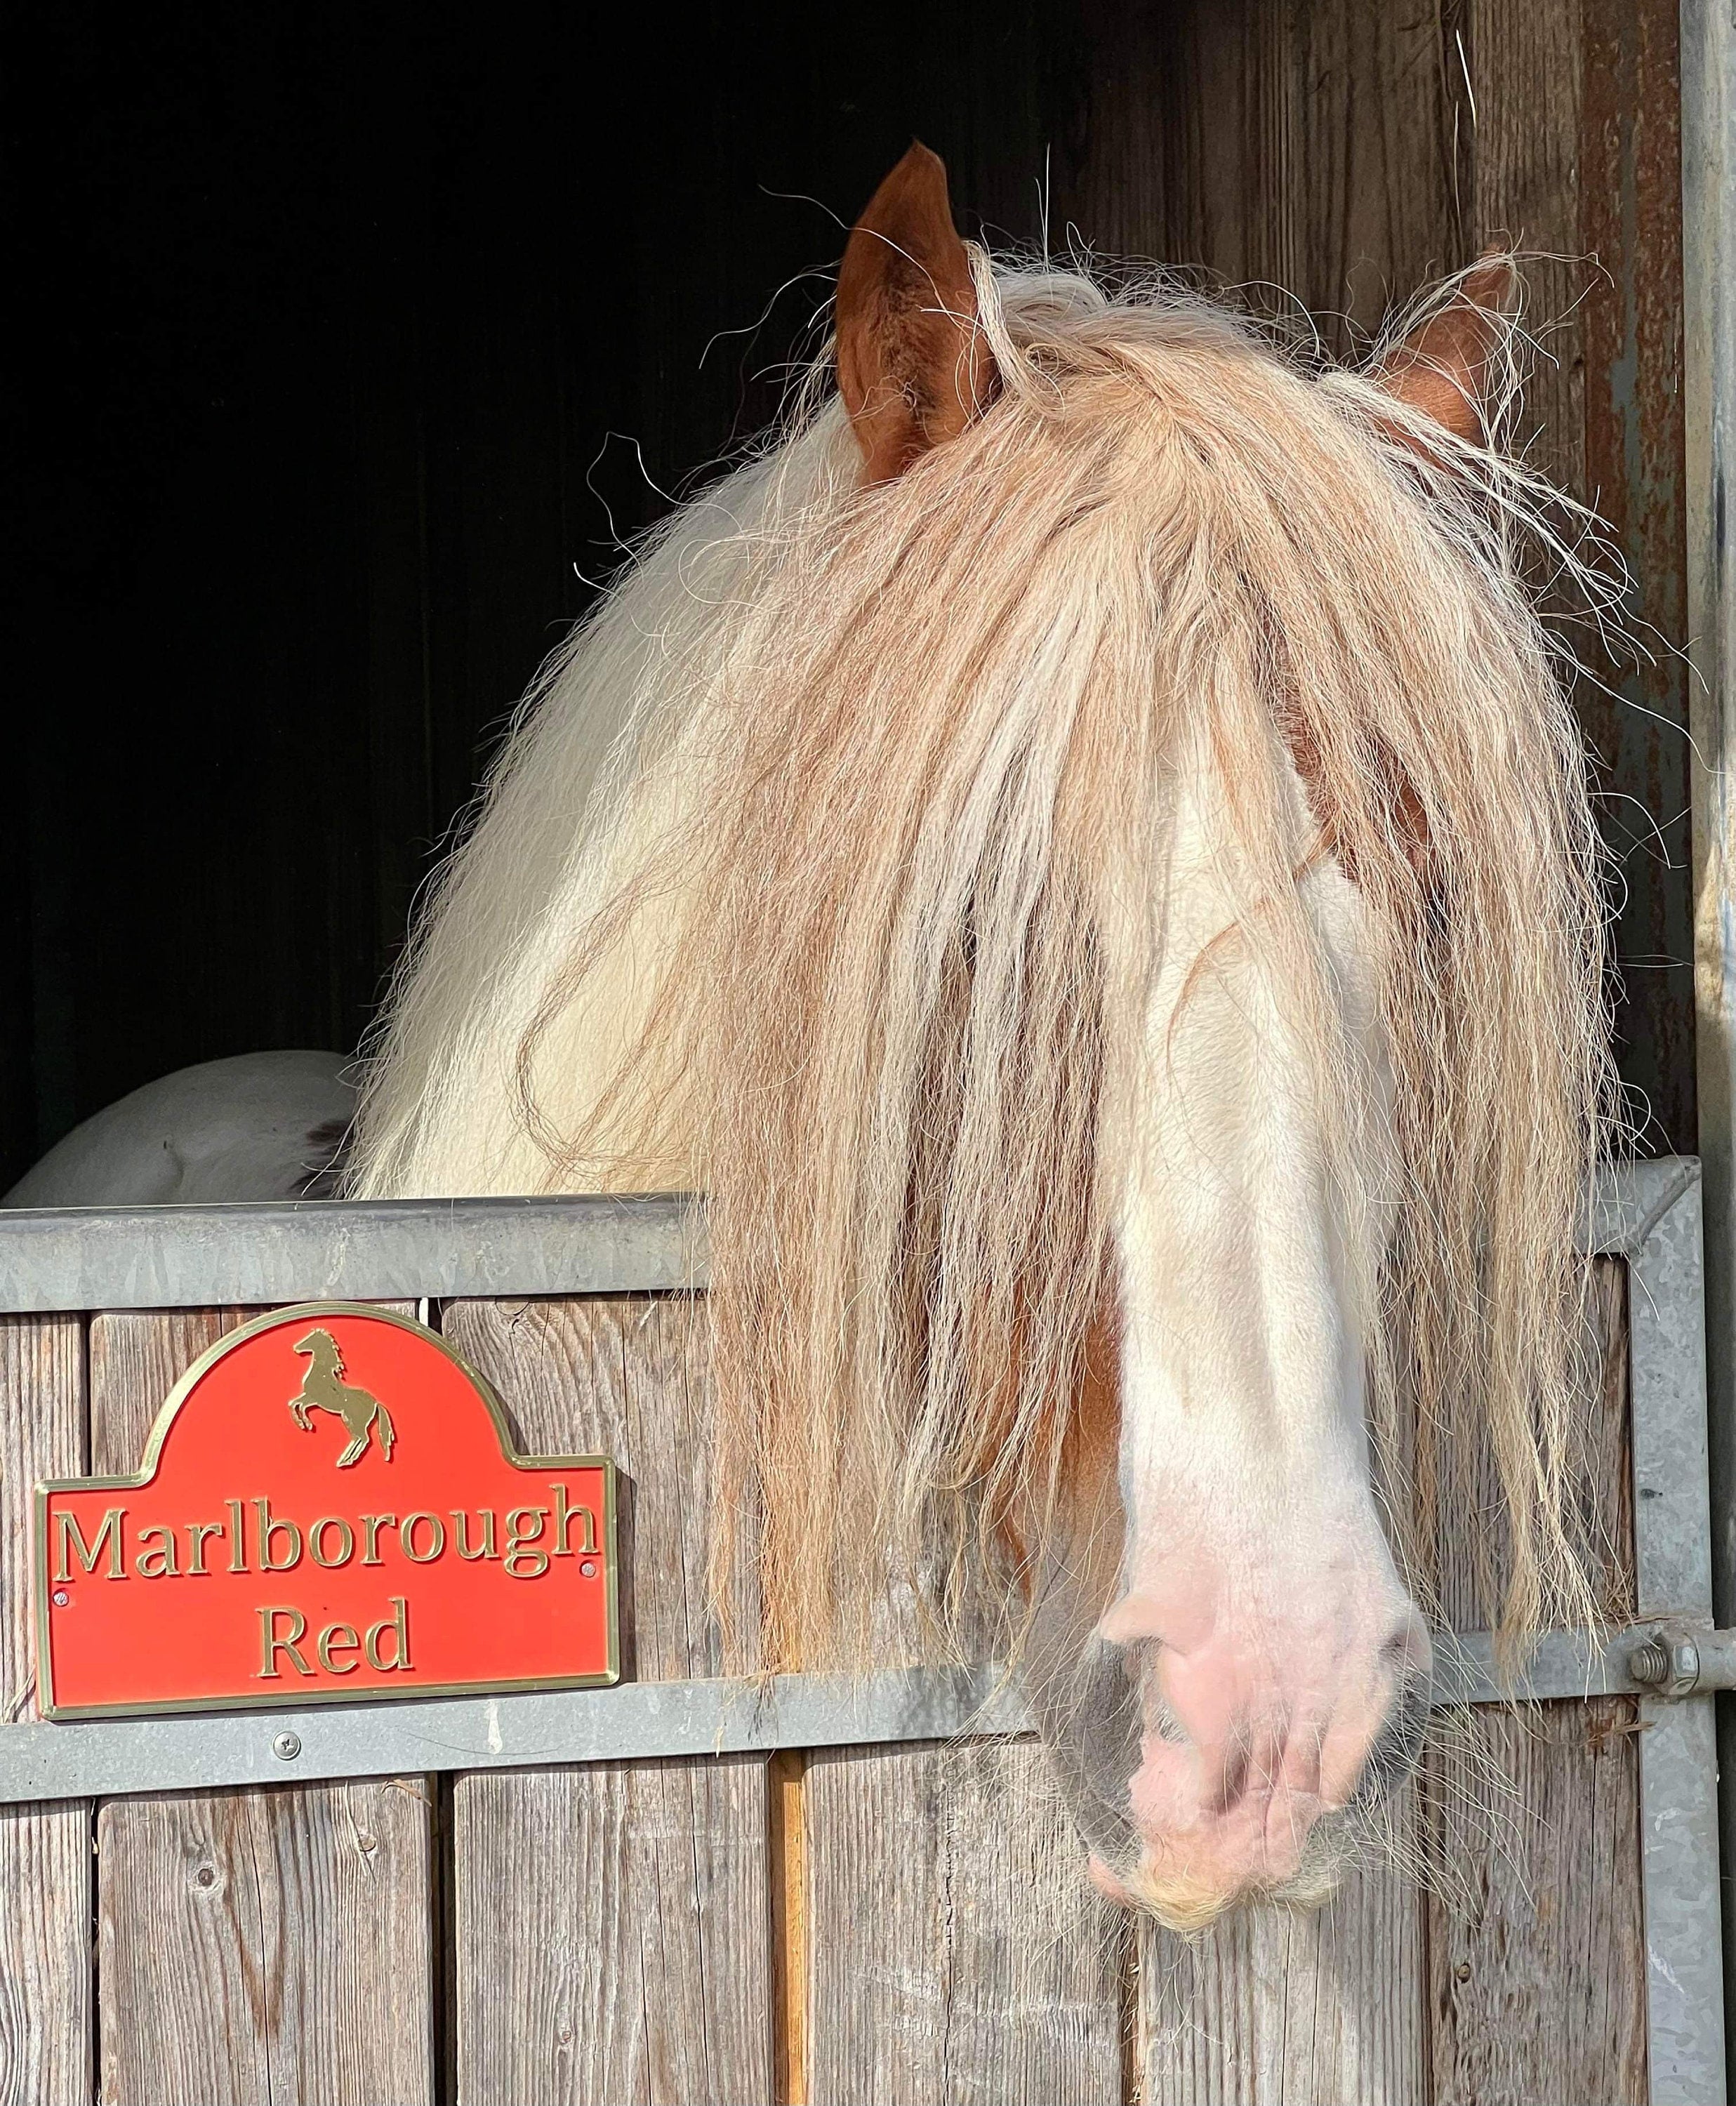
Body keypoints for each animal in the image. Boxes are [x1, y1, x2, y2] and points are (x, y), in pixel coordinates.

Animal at [289, 1326, 395, 1466]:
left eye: (311, 1338)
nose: (296, 1348)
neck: (322, 1374)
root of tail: (376, 1403)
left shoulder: (315, 1399)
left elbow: (300, 1405)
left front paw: (306, 1424)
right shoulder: (310, 1397)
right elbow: (294, 1403)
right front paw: (303, 1424)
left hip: (352, 1420)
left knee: (363, 1438)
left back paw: (346, 1461)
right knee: (358, 1438)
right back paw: (345, 1460)